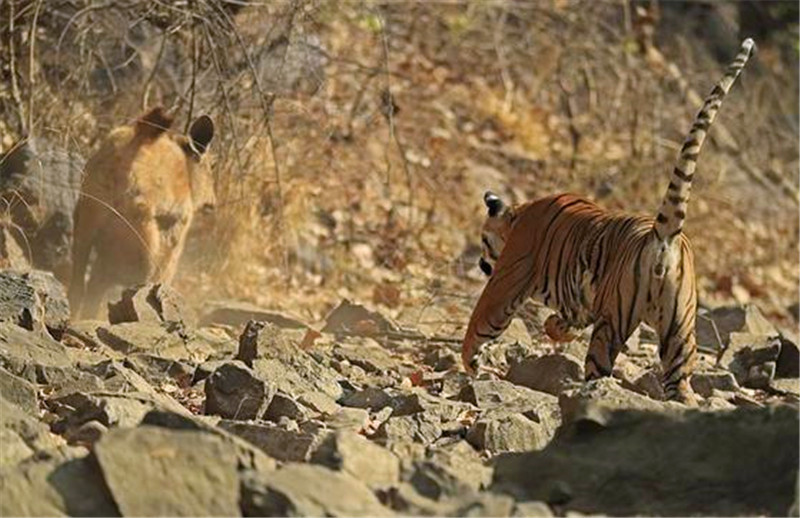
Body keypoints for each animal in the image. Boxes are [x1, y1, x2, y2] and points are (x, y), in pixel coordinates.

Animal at [462, 39, 756, 406]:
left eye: (482, 241)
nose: (480, 264)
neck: (518, 214)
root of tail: (664, 235)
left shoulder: (508, 281)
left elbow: (482, 319)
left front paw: (469, 362)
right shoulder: (585, 303)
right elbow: (566, 320)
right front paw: (553, 327)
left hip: (612, 325)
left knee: (599, 368)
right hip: (678, 332)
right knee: (680, 384)